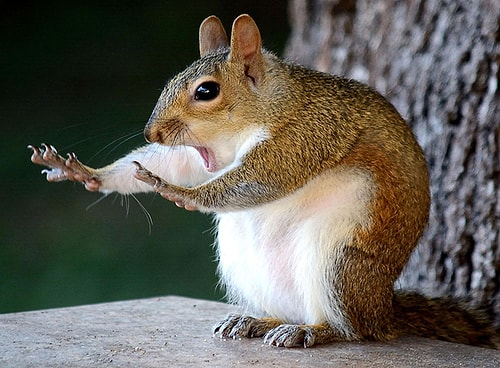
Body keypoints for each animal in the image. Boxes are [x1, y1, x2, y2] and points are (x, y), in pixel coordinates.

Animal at [30, 14, 496, 348]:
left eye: (206, 91)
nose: (153, 133)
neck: (269, 106)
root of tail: (384, 310)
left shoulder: (307, 134)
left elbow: (262, 179)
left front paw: (180, 192)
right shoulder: (203, 155)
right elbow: (176, 163)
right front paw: (86, 173)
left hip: (340, 264)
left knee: (355, 330)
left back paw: (315, 331)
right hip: (248, 266)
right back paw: (256, 320)